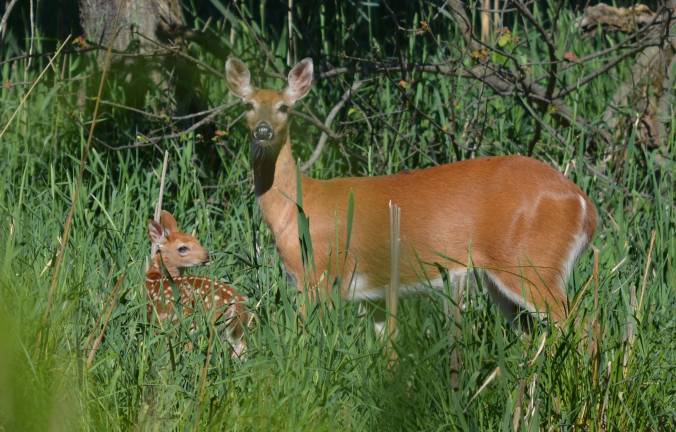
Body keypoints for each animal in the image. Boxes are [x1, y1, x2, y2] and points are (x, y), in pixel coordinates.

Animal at [145, 211, 251, 356]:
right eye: (183, 248)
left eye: (197, 241)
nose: (208, 256)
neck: (154, 278)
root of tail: (238, 305)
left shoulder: (158, 320)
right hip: (236, 332)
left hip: (199, 325)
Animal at [227, 57, 596, 330]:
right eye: (247, 105)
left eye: (284, 107)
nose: (263, 131)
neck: (297, 210)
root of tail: (585, 206)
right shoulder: (372, 295)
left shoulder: (321, 275)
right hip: (509, 279)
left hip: (532, 263)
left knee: (583, 327)